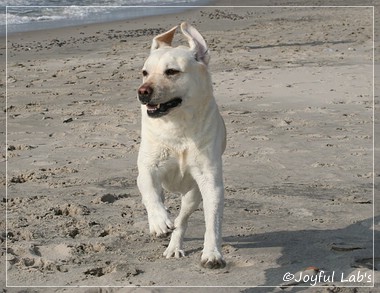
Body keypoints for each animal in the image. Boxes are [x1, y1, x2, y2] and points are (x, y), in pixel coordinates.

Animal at [137, 22, 226, 270]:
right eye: (145, 72)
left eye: (172, 72)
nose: (142, 92)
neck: (178, 126)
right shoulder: (147, 168)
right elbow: (150, 192)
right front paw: (159, 222)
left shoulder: (210, 182)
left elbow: (212, 221)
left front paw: (212, 253)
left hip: (191, 195)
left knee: (182, 221)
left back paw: (174, 246)